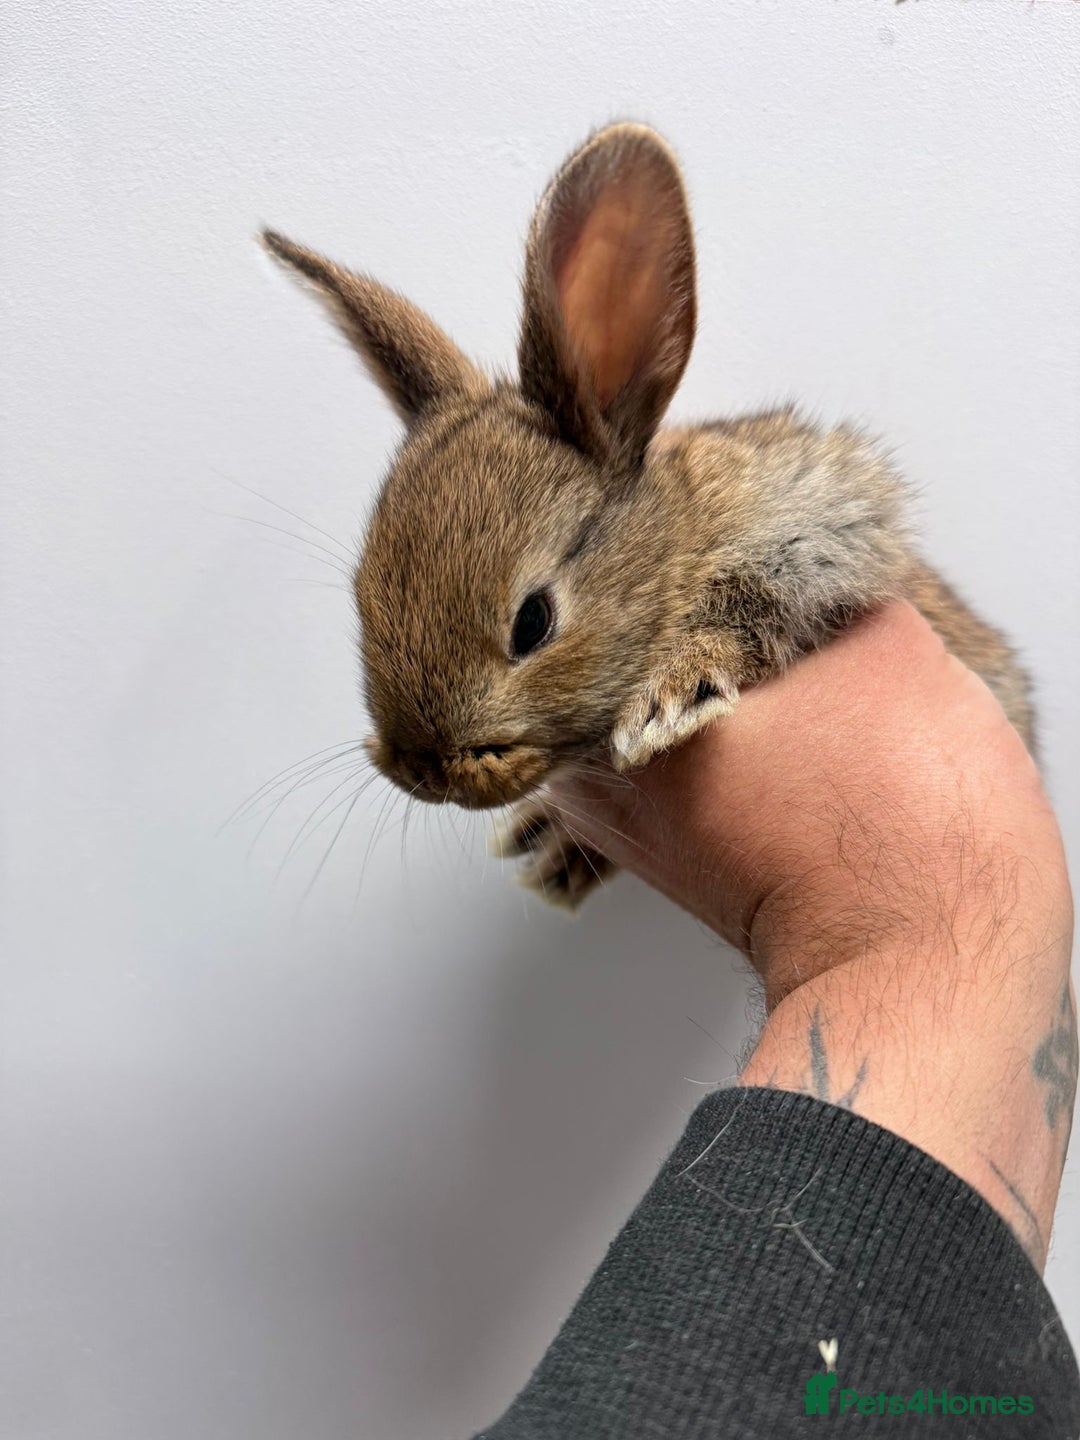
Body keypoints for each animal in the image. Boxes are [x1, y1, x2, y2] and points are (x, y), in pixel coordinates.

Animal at [261, 122, 1035, 909]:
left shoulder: (824, 531)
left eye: (533, 621)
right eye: (361, 597)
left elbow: (755, 607)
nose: (425, 771)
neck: (673, 543)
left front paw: (668, 701)